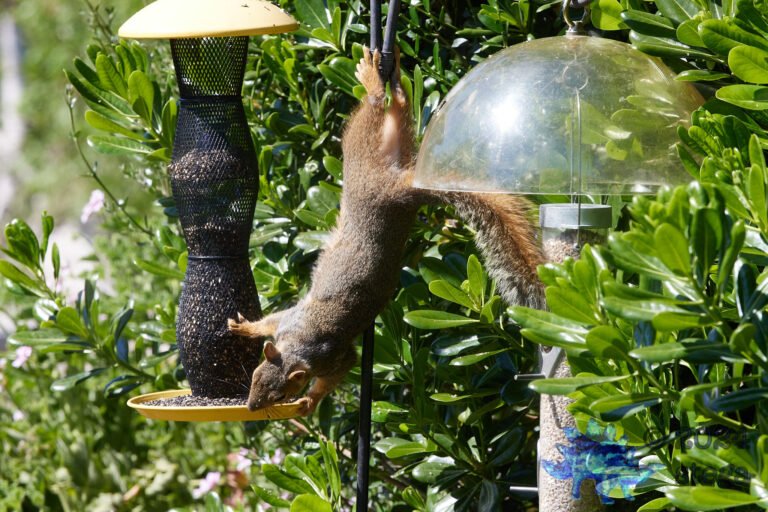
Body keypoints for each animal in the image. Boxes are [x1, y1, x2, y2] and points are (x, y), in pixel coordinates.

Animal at [228, 47, 544, 415]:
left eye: (280, 394)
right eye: (255, 375)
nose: (252, 406)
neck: (298, 343)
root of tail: (403, 189)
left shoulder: (333, 356)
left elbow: (341, 369)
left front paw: (310, 401)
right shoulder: (286, 323)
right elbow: (269, 322)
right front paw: (246, 327)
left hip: (361, 148)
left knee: (375, 105)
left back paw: (372, 81)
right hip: (396, 144)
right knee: (399, 111)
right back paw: (399, 88)